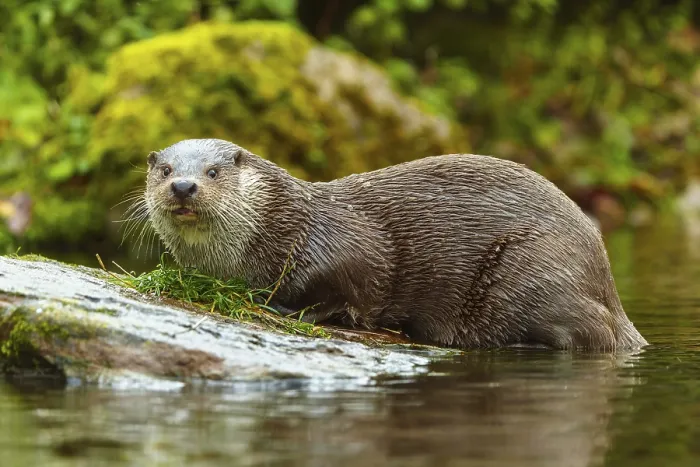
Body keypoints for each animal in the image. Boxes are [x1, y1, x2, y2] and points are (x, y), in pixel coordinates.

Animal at [141, 138, 647, 351]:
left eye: (212, 171)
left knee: (591, 334)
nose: (183, 186)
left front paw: (287, 307)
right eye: (165, 169)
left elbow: (351, 286)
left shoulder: (345, 245)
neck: (286, 227)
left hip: (535, 268)